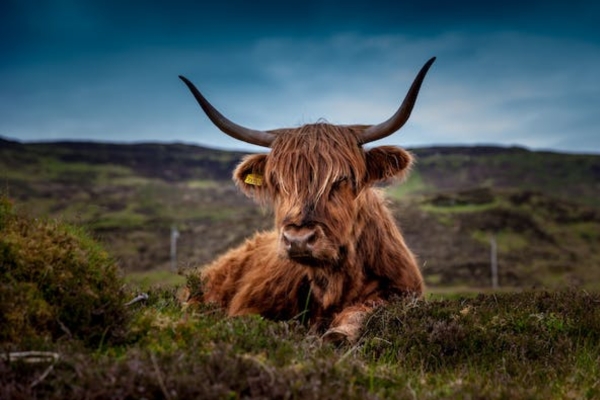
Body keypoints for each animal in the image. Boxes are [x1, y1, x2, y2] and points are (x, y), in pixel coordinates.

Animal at [179, 57, 436, 344]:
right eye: (278, 182)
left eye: (342, 179)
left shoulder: (401, 292)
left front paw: (338, 333)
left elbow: (363, 311)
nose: (298, 239)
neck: (333, 283)